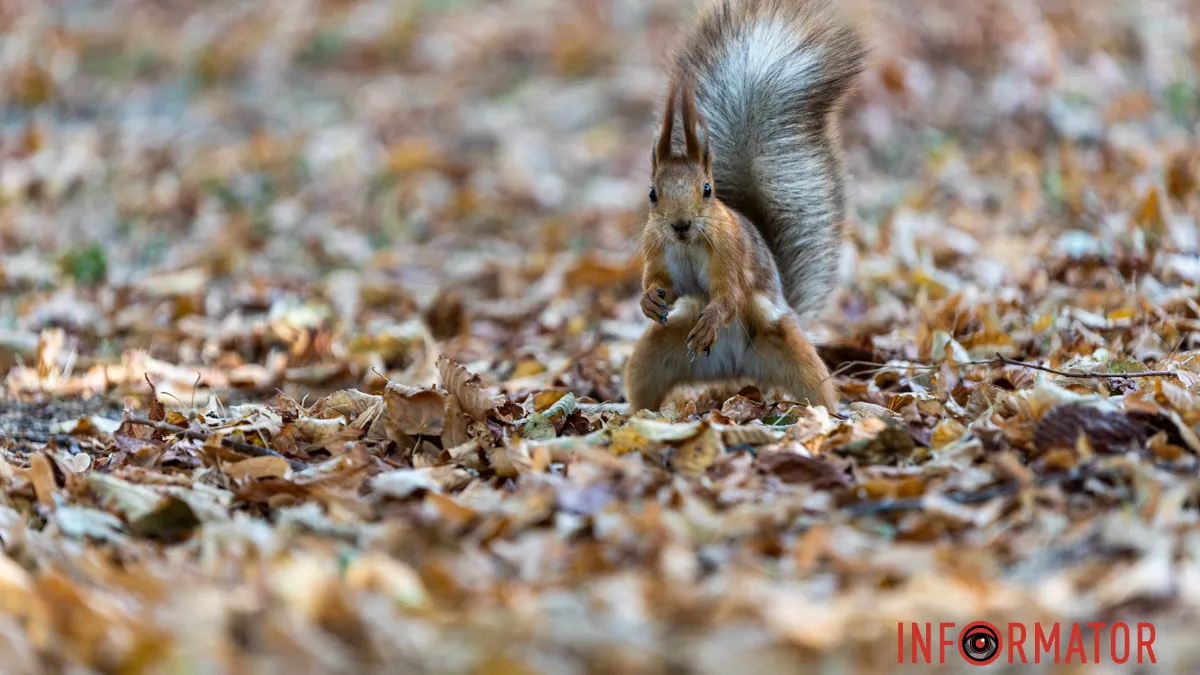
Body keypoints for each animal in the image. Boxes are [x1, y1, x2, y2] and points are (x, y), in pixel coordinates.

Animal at [624, 0, 868, 410]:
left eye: (708, 189)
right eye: (652, 194)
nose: (680, 224)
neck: (688, 245)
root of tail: (733, 365)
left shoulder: (731, 254)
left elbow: (731, 294)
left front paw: (712, 318)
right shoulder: (657, 249)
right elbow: (663, 284)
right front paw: (648, 301)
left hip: (790, 347)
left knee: (816, 384)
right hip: (654, 354)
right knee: (645, 379)